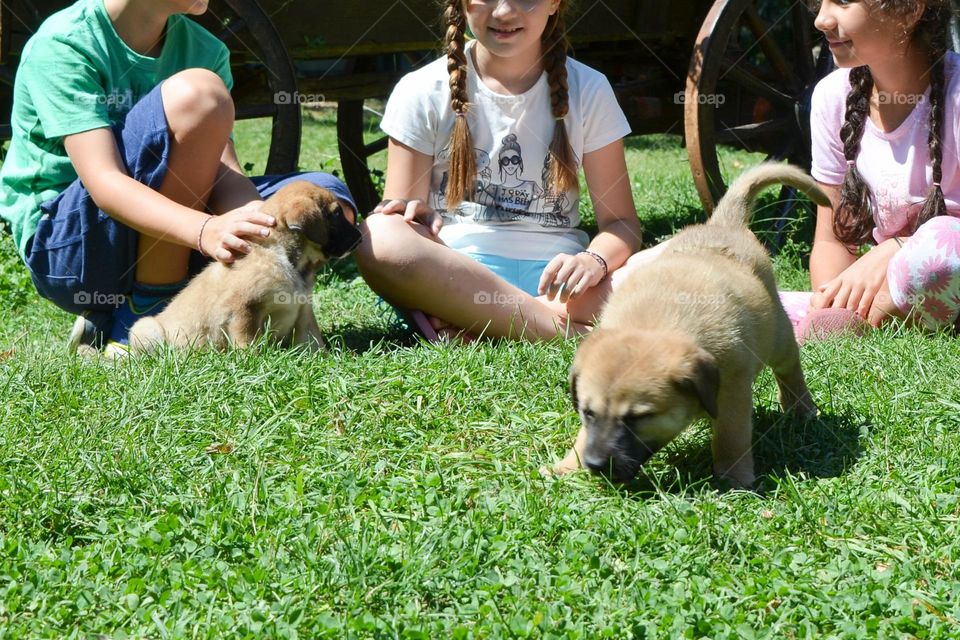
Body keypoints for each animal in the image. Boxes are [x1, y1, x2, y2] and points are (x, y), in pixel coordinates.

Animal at [129, 180, 362, 352]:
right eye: (337, 214)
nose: (360, 237)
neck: (286, 258)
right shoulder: (244, 309)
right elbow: (248, 341)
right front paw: (253, 363)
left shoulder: (303, 309)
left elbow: (312, 339)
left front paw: (323, 359)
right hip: (146, 328)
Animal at [556, 165, 824, 490]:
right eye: (588, 412)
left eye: (637, 418)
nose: (595, 465)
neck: (653, 322)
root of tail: (723, 224)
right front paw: (567, 465)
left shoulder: (733, 386)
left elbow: (731, 434)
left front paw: (734, 477)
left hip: (778, 336)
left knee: (789, 370)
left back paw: (802, 409)